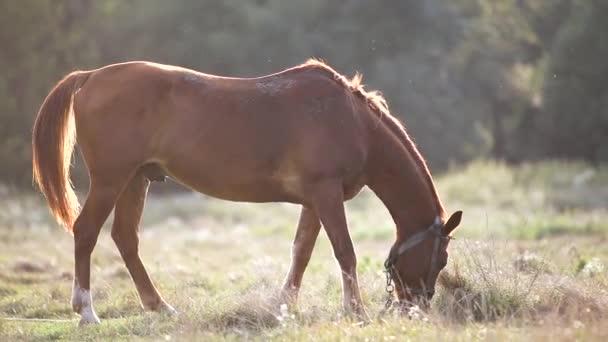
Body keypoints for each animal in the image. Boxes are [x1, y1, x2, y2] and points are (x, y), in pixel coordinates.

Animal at [32, 59, 460, 326]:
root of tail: (90, 77)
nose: (416, 309)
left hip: (136, 179)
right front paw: (357, 312)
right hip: (111, 180)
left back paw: (161, 307)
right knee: (86, 232)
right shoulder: (326, 195)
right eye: (439, 260)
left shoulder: (314, 201)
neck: (352, 122)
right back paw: (87, 312)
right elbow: (344, 252)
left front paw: (285, 307)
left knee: (125, 238)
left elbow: (302, 252)